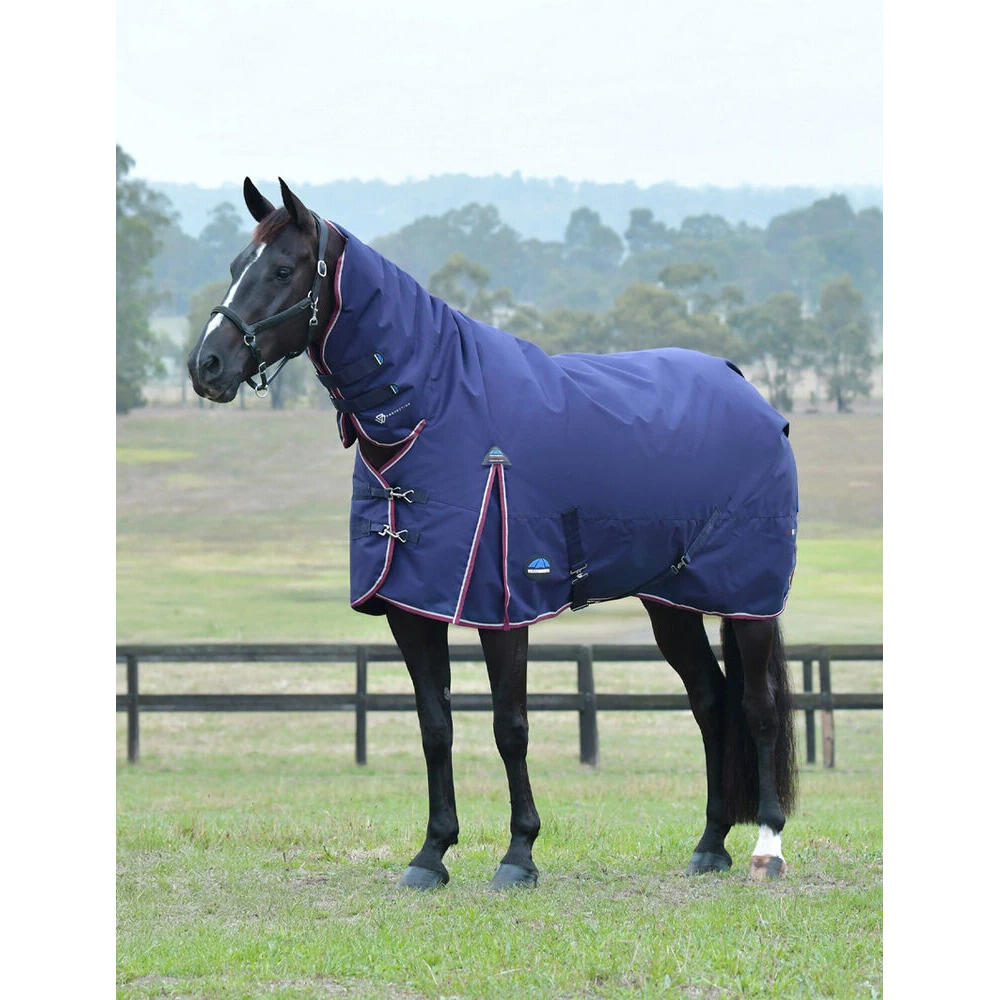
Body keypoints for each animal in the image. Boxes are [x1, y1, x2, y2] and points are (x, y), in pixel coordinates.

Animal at [188, 177, 798, 889]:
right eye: (237, 265)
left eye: (283, 270)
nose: (207, 364)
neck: (435, 410)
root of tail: (744, 388)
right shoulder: (412, 606)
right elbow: (435, 726)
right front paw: (432, 854)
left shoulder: (502, 605)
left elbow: (511, 726)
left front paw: (519, 853)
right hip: (670, 603)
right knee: (710, 701)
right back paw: (709, 845)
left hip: (748, 600)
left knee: (757, 705)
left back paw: (766, 848)